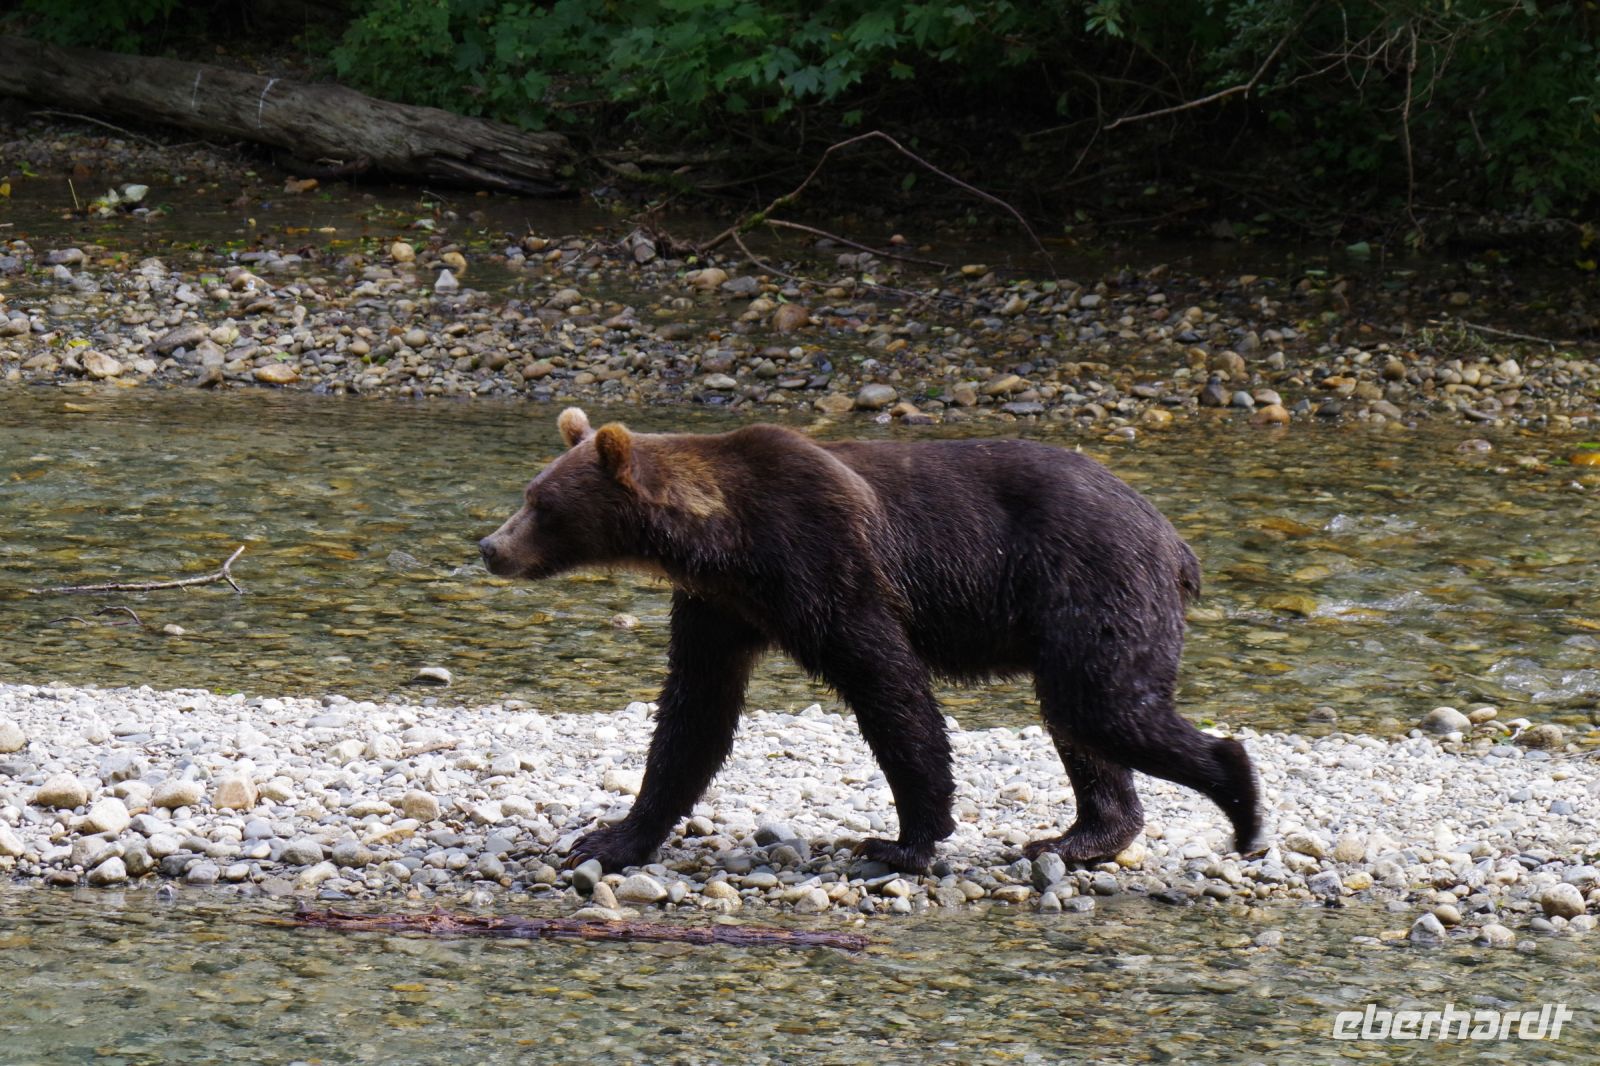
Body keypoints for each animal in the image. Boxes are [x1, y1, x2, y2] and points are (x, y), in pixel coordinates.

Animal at [478, 407, 1260, 874]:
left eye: (541, 504)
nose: (490, 547)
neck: (724, 539)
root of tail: (1175, 542)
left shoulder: (822, 560)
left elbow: (887, 685)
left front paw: (904, 838)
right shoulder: (721, 607)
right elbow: (693, 714)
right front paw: (611, 837)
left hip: (1093, 581)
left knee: (1103, 705)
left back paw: (1241, 803)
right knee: (1082, 724)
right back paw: (1083, 835)